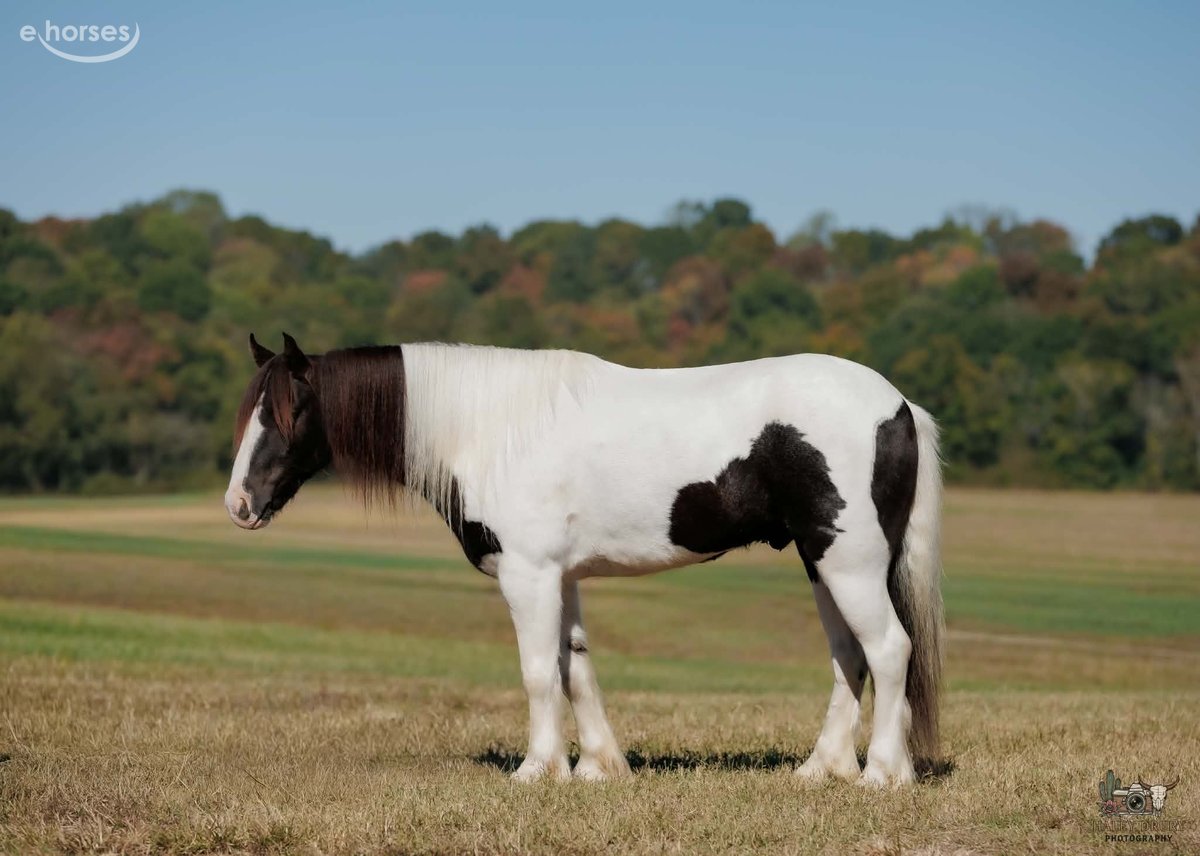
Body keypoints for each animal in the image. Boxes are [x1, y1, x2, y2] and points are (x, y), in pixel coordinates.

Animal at [226, 332, 943, 786]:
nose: (239, 503)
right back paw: (824, 769)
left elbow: (539, 673)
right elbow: (576, 669)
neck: (491, 430)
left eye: (289, 410)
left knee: (888, 650)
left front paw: (538, 770)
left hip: (848, 561)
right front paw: (599, 767)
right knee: (850, 657)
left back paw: (882, 775)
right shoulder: (561, 576)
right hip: (824, 563)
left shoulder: (530, 575)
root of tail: (899, 405)